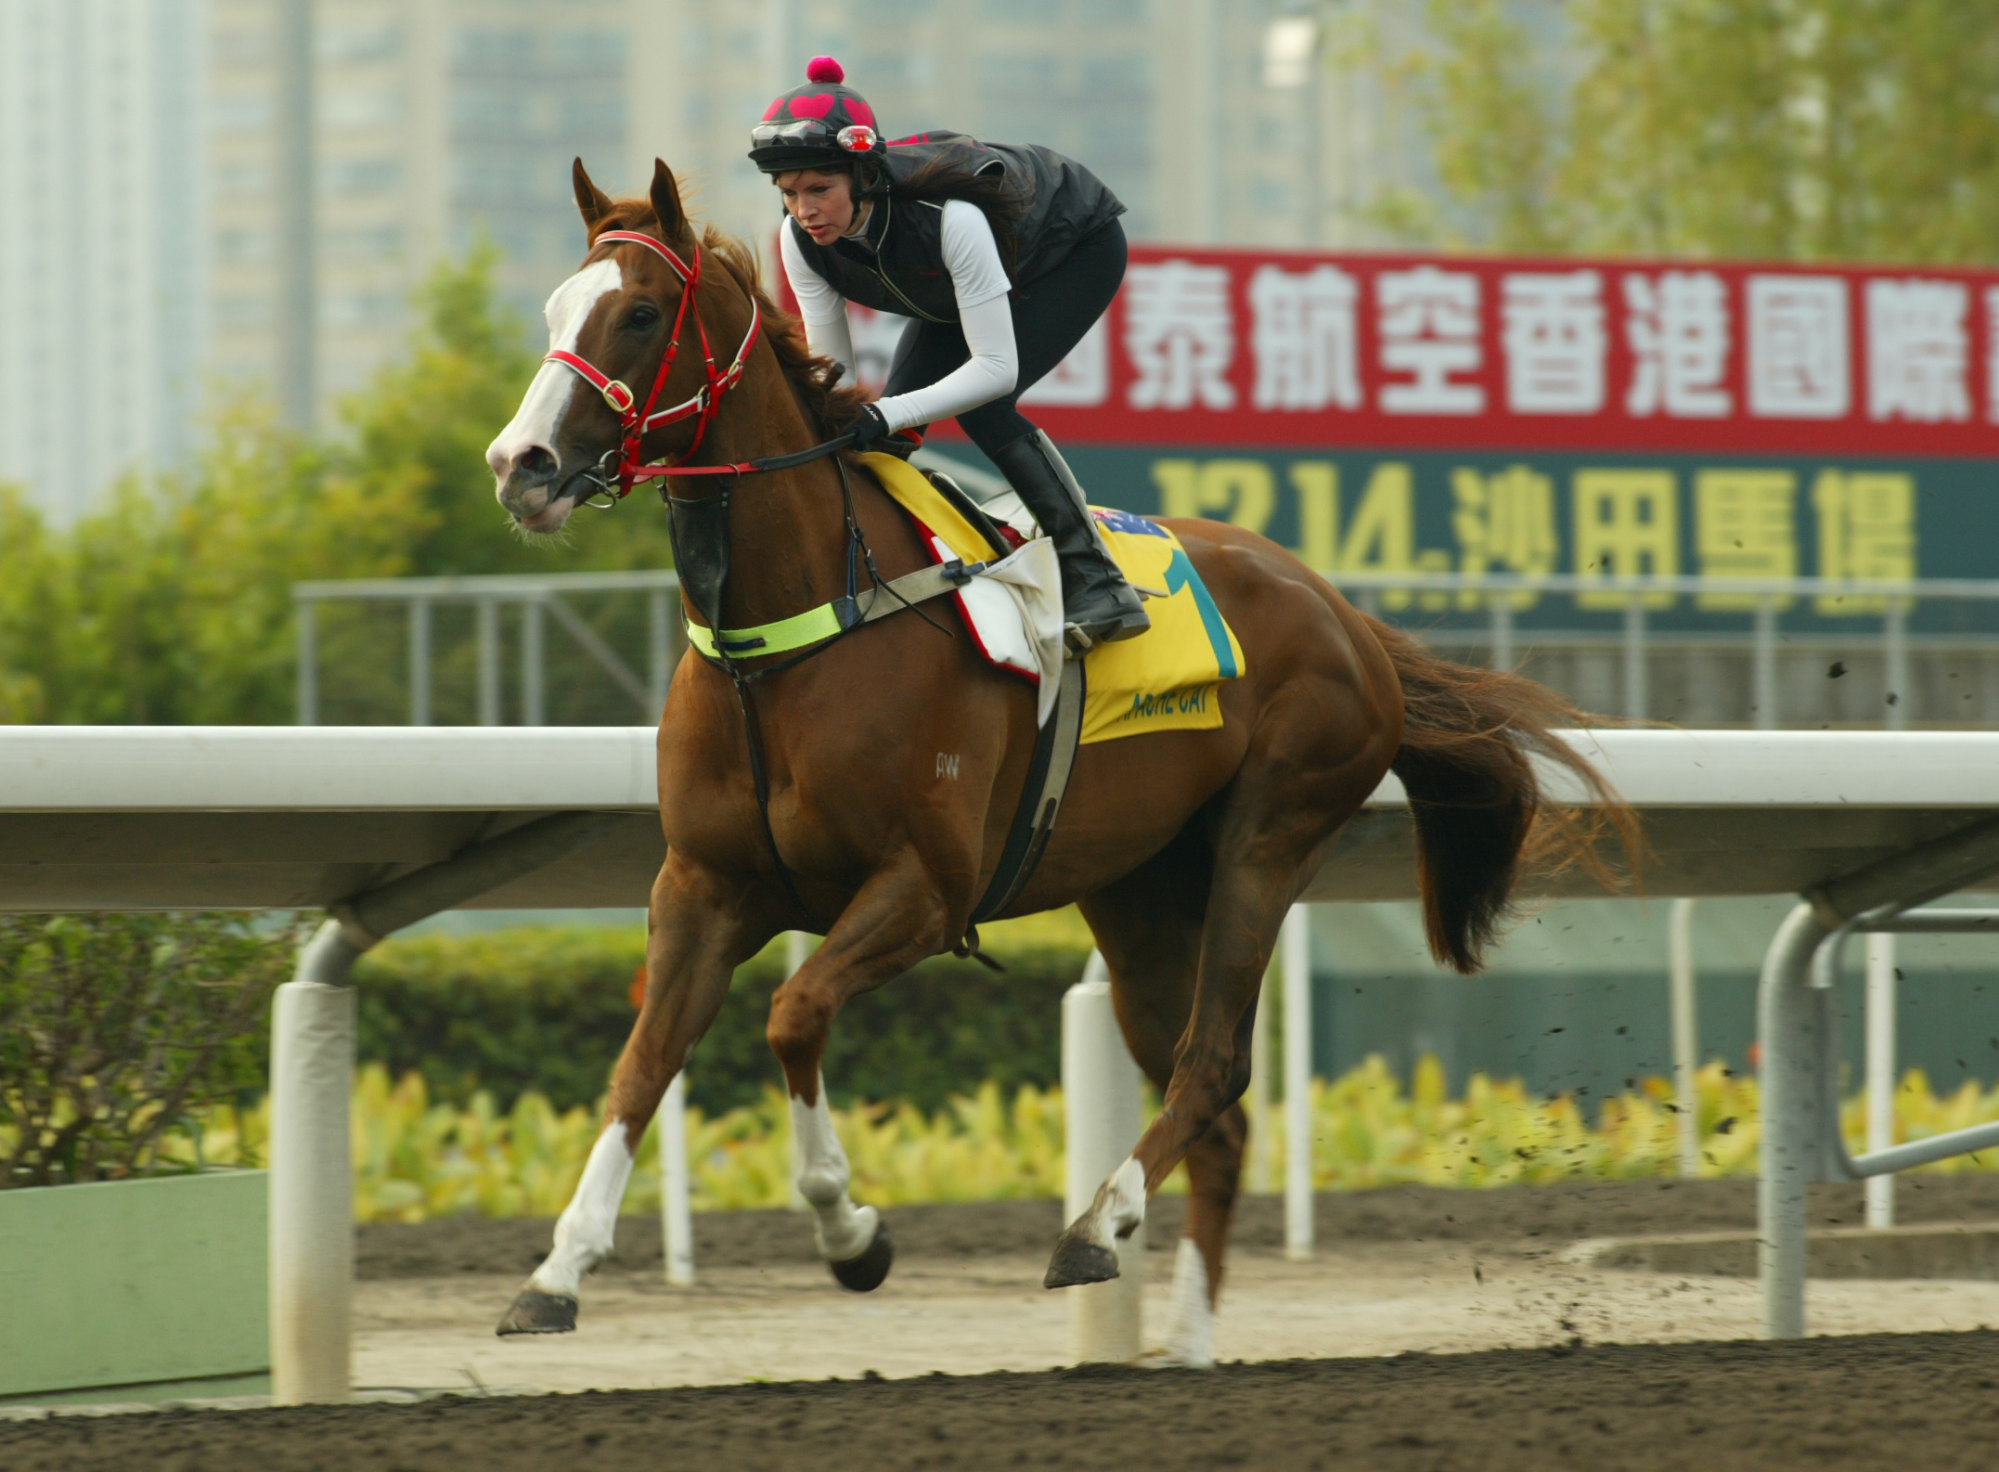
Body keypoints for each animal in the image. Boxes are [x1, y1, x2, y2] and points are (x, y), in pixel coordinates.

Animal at [483, 155, 1623, 1360]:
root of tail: (1347, 613)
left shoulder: (924, 889)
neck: (795, 631)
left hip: (1270, 836)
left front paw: (854, 1233)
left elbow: (792, 1017)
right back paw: (1182, 1340)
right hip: (1138, 887)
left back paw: (1095, 1225)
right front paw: (555, 1273)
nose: (521, 465)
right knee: (1213, 1110)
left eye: (641, 314)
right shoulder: (703, 886)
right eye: (555, 308)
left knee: (1212, 1063)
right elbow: (642, 1063)